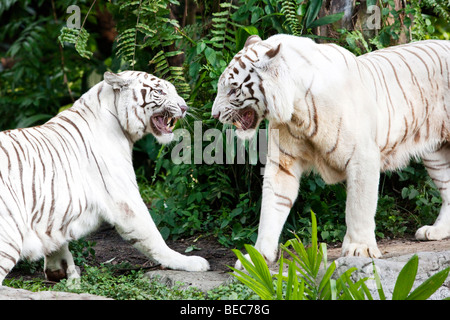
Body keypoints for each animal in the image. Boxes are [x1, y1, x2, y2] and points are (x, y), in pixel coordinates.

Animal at [0, 70, 210, 284]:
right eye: (159, 91)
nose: (184, 107)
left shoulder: (54, 210)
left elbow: (57, 240)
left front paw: (59, 269)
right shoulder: (125, 199)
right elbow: (153, 236)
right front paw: (189, 262)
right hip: (10, 235)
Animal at [212, 34, 450, 264]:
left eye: (233, 89)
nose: (214, 114)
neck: (297, 111)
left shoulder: (362, 157)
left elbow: (358, 207)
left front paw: (359, 249)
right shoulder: (283, 163)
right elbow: (272, 206)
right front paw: (257, 257)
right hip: (436, 155)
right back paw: (436, 231)